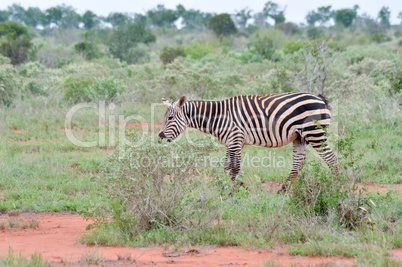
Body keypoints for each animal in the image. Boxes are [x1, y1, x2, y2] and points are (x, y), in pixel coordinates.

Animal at [159, 93, 338, 192]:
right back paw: (283, 190)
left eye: (170, 118)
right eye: (165, 118)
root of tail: (320, 99)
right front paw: (225, 189)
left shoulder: (236, 139)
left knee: (331, 158)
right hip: (299, 137)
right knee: (298, 163)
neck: (218, 117)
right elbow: (226, 167)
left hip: (314, 133)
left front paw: (239, 189)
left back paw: (337, 184)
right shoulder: (230, 142)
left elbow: (235, 167)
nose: (160, 136)